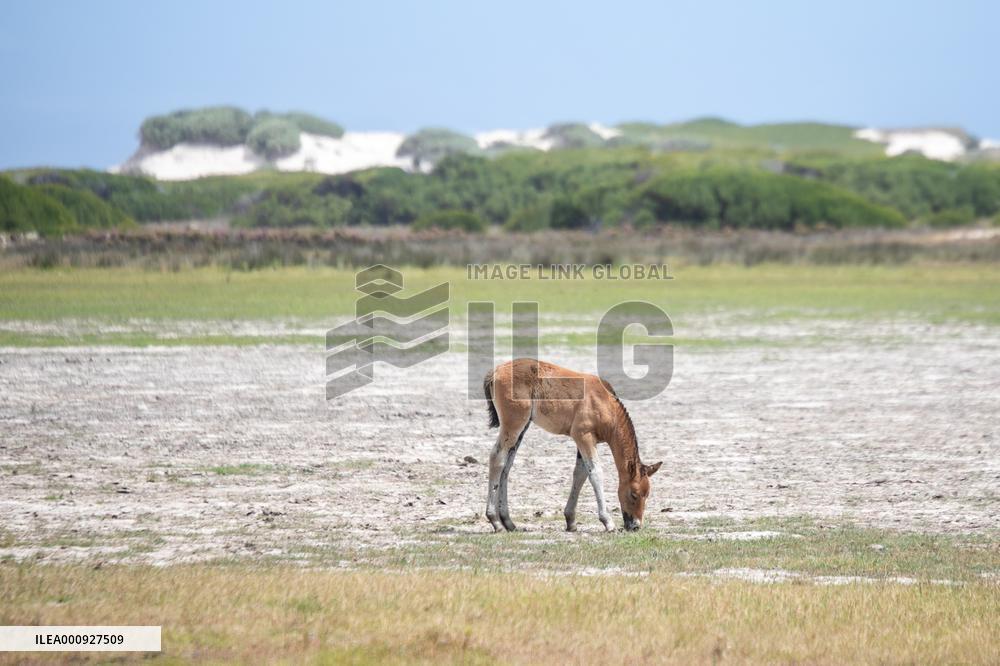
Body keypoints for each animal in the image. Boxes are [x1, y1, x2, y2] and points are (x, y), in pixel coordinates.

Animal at [482, 358, 662, 532]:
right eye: (633, 494)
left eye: (647, 494)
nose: (636, 526)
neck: (604, 402)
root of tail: (497, 370)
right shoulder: (583, 436)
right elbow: (595, 473)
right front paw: (608, 522)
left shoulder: (585, 442)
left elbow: (580, 474)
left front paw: (571, 521)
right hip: (513, 425)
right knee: (497, 458)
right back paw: (495, 521)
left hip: (522, 428)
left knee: (506, 466)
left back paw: (508, 522)